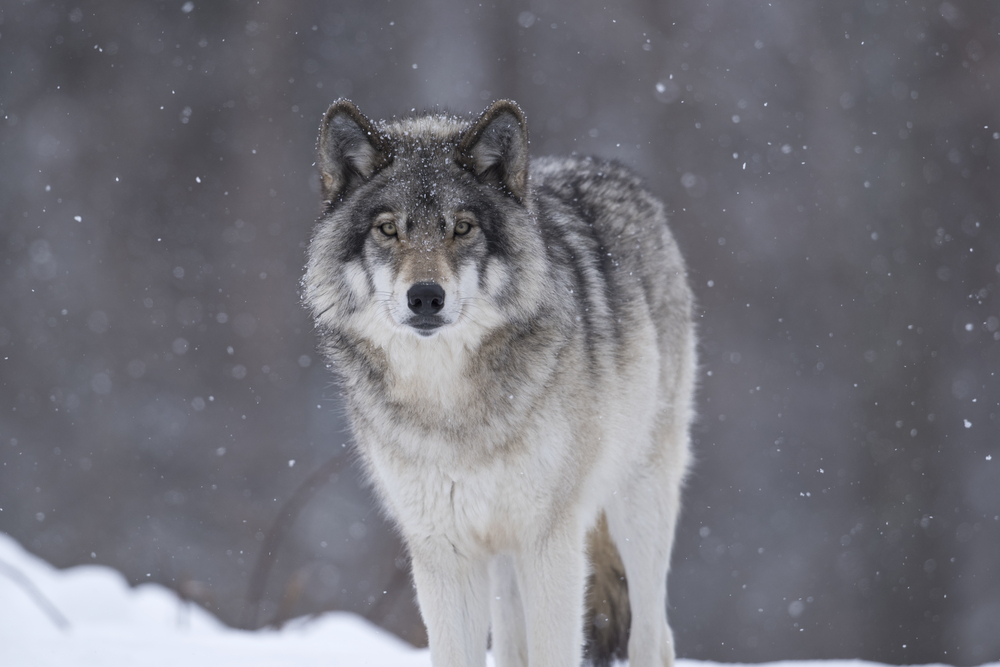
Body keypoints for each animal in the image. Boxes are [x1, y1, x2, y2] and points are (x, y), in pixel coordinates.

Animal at [303, 99, 696, 667]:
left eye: (462, 228)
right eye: (389, 229)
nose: (426, 296)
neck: (449, 405)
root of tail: (609, 168)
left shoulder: (549, 542)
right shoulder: (444, 553)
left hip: (638, 501)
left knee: (653, 633)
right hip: (504, 557)